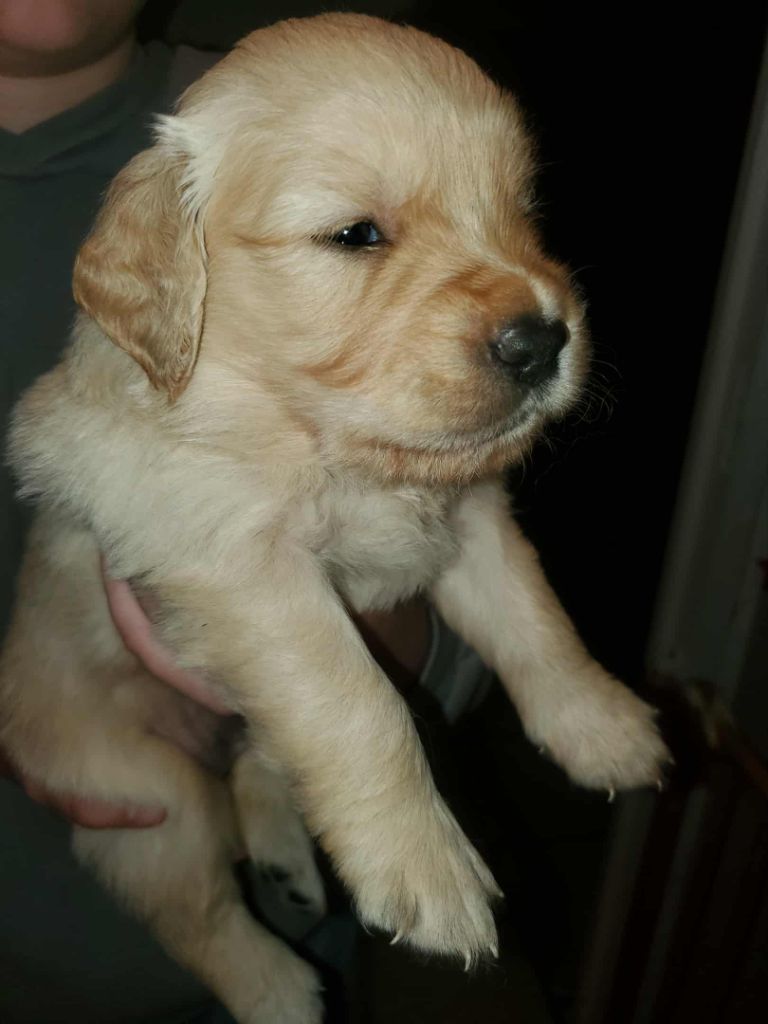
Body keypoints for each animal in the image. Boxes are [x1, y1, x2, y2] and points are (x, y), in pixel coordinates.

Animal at [0, 14, 669, 1023]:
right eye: (356, 235)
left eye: (521, 211)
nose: (542, 339)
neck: (330, 447)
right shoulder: (244, 569)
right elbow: (362, 706)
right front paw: (428, 869)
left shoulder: (471, 517)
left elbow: (535, 619)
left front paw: (604, 725)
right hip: (139, 792)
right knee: (198, 906)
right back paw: (281, 987)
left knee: (260, 769)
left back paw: (288, 864)